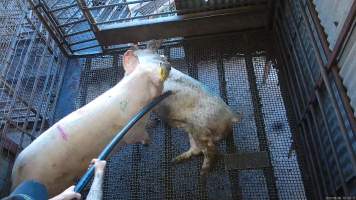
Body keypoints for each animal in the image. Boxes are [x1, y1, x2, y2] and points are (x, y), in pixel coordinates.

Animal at [10, 47, 171, 196]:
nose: (167, 61)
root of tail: (16, 179)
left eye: (155, 57)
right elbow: (143, 136)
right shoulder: (133, 131)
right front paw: (148, 141)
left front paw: (155, 121)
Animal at [134, 41, 242, 177]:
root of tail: (230, 115)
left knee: (211, 149)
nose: (132, 49)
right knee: (197, 150)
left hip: (200, 129)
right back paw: (175, 160)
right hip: (193, 131)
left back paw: (202, 172)